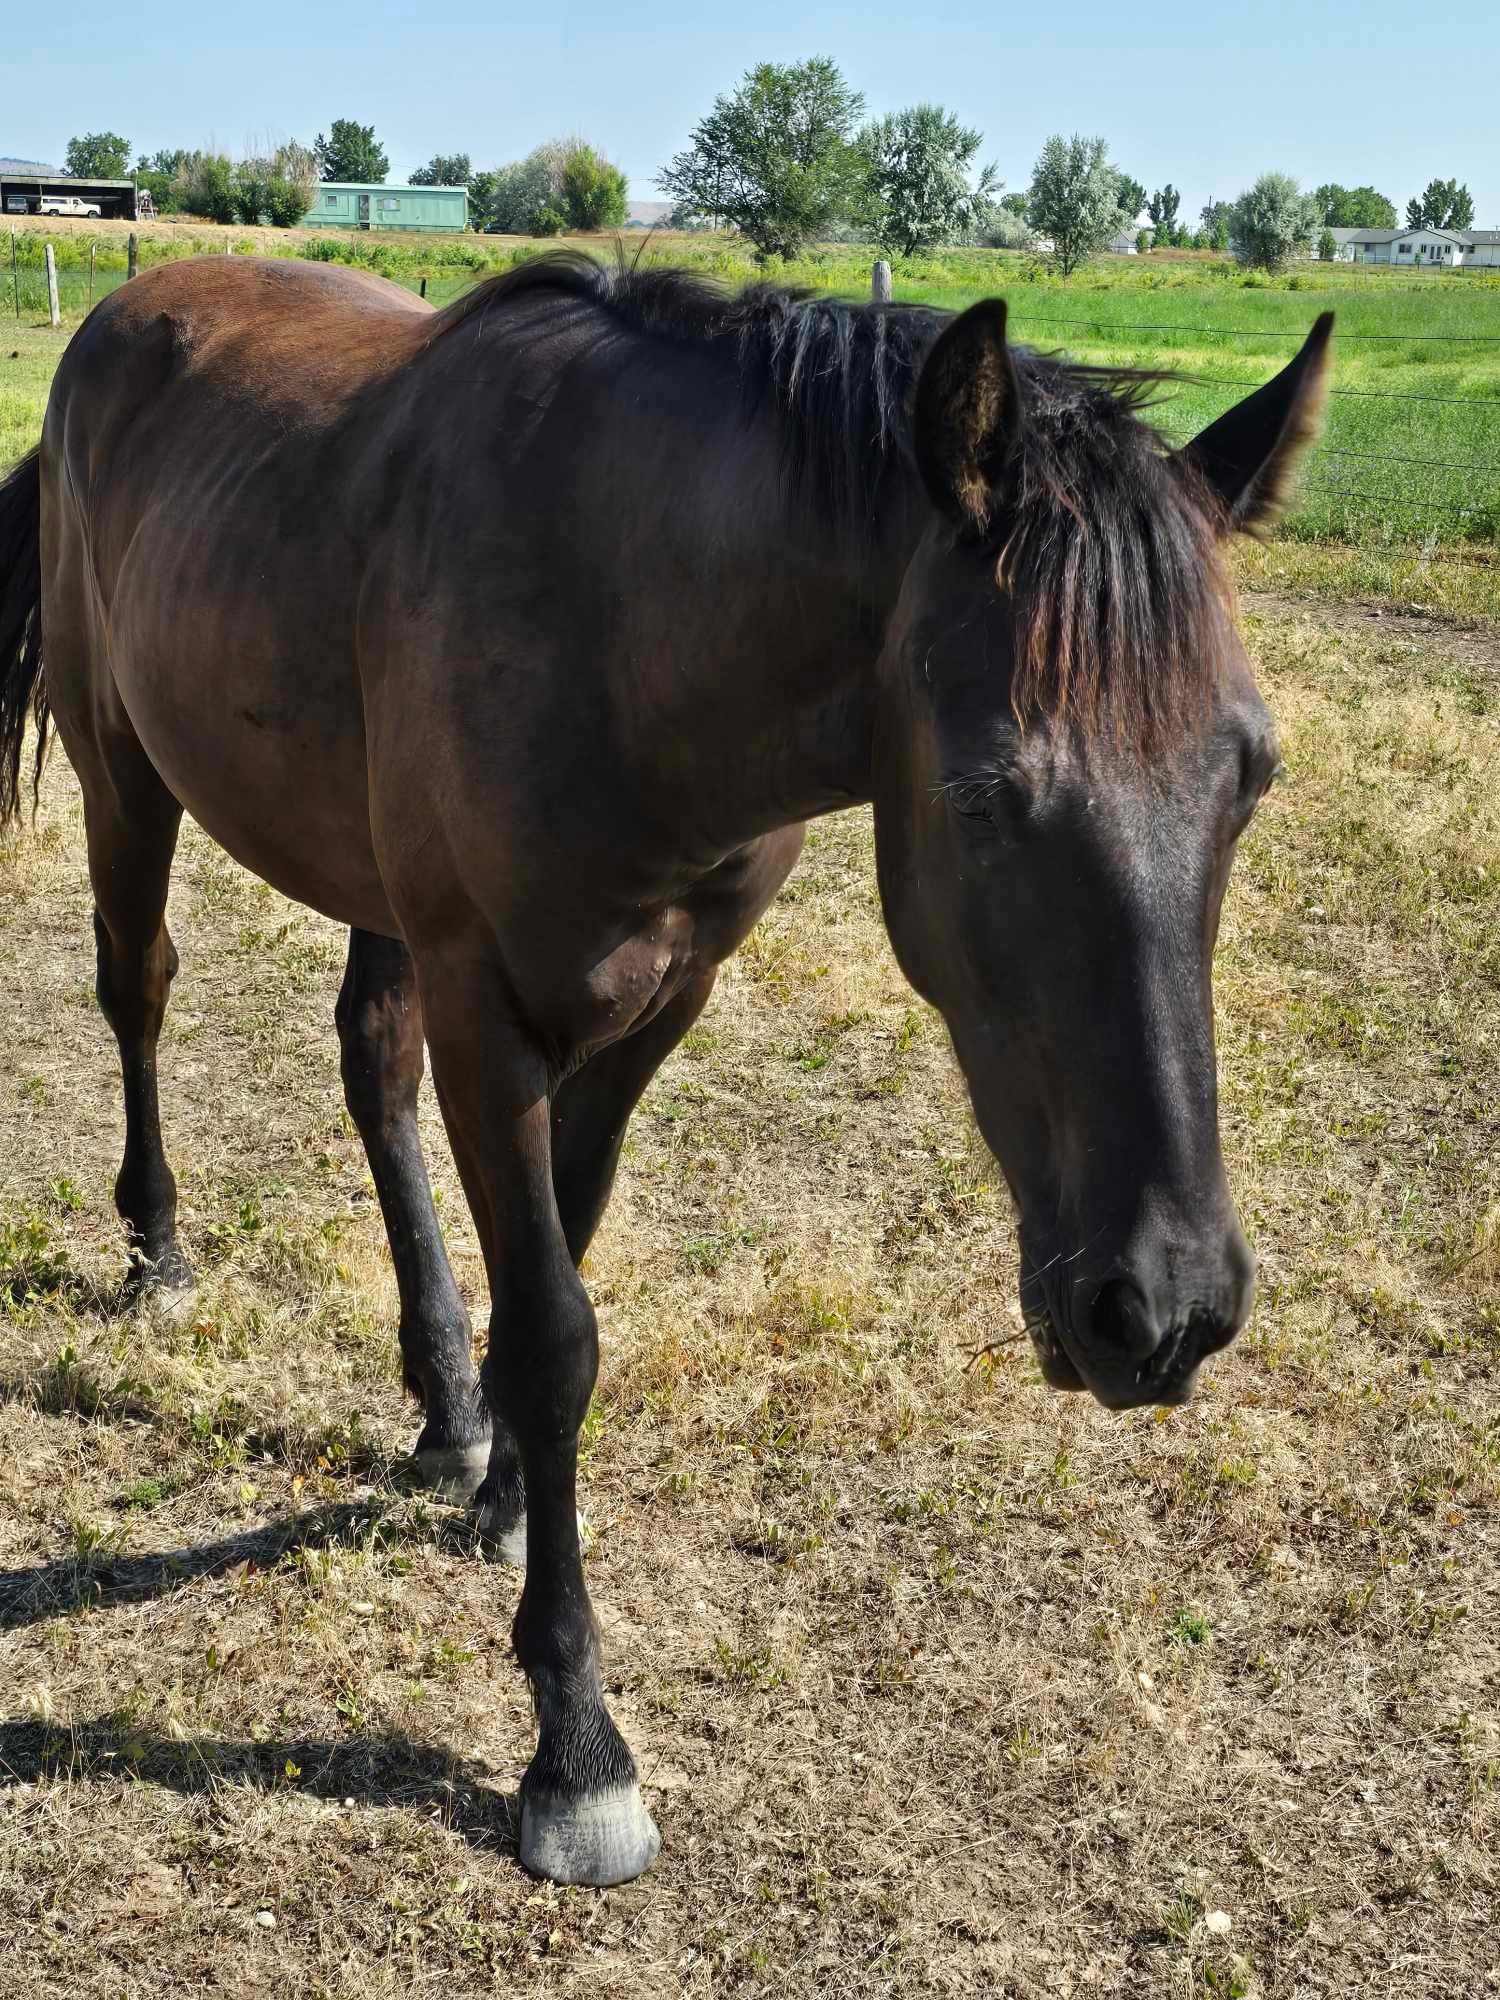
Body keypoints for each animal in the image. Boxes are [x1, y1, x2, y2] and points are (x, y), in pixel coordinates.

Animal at [0, 250, 1331, 1885]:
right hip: (124, 764)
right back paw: (161, 1249)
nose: (1162, 1308)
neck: (624, 619)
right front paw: (576, 1747)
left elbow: (555, 1270)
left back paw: (440, 1401)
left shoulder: (656, 1007)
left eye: (1250, 774)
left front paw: (499, 1482)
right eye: (984, 791)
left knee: (368, 1069)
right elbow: (556, 1337)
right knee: (138, 988)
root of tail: (126, 311)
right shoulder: (490, 1008)